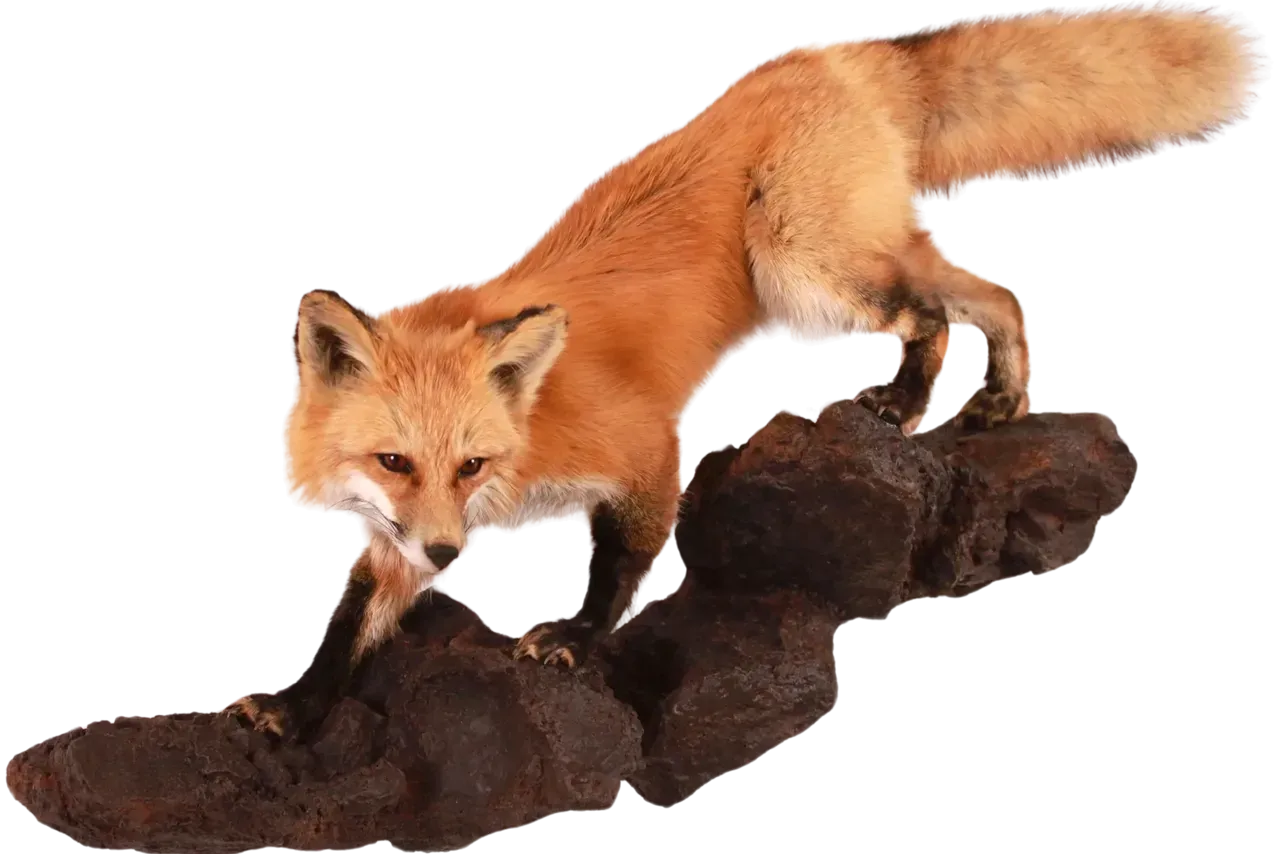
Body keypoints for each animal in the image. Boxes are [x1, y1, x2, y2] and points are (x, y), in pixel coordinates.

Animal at [225, 1, 1270, 740]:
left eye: (472, 463)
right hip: (860, 254)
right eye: (395, 463)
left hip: (805, 267)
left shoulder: (642, 443)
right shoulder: (395, 537)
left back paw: (904, 403)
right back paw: (1005, 401)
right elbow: (350, 626)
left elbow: (624, 563)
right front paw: (296, 707)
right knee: (997, 292)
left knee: (929, 313)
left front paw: (576, 637)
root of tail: (834, 52)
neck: (523, 443)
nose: (448, 557)